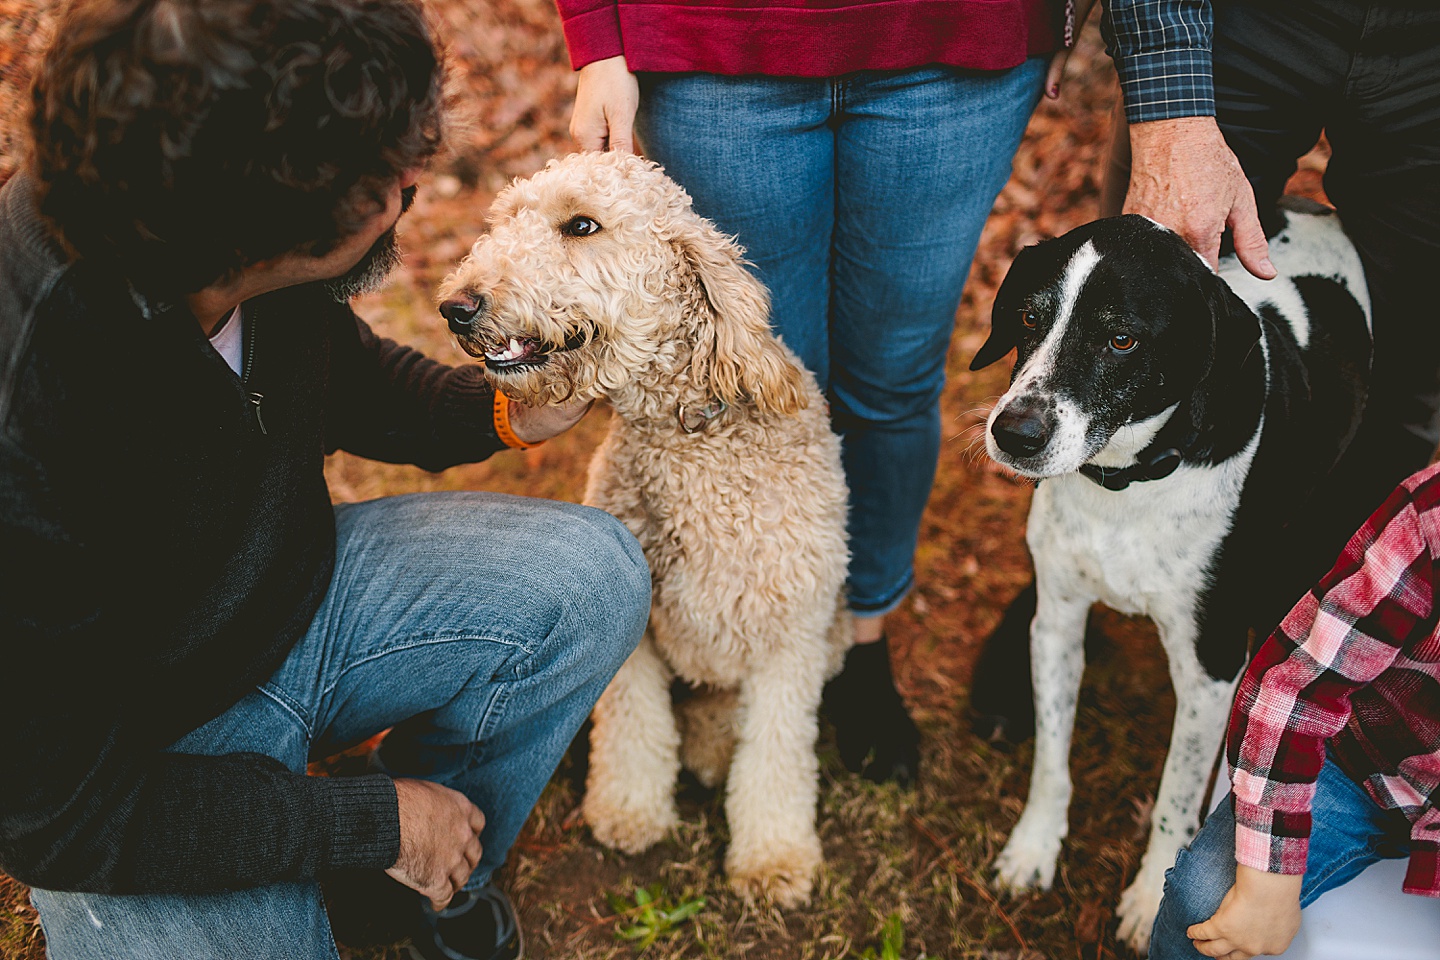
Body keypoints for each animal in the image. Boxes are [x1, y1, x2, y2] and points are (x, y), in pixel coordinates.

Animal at [432, 154, 846, 903]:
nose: (457, 306)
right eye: (504, 222)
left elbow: (776, 754)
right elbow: (634, 725)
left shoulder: (792, 637)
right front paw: (629, 810)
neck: (687, 438)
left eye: (581, 226)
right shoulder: (640, 633)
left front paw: (773, 857)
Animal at [979, 204, 1370, 955]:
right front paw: (1035, 846)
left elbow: (1178, 793)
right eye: (1028, 318)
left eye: (1122, 339)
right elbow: (1051, 759)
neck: (1125, 480)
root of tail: (1320, 209)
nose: (1014, 433)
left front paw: (1145, 899)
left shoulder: (1212, 665)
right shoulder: (1057, 621)